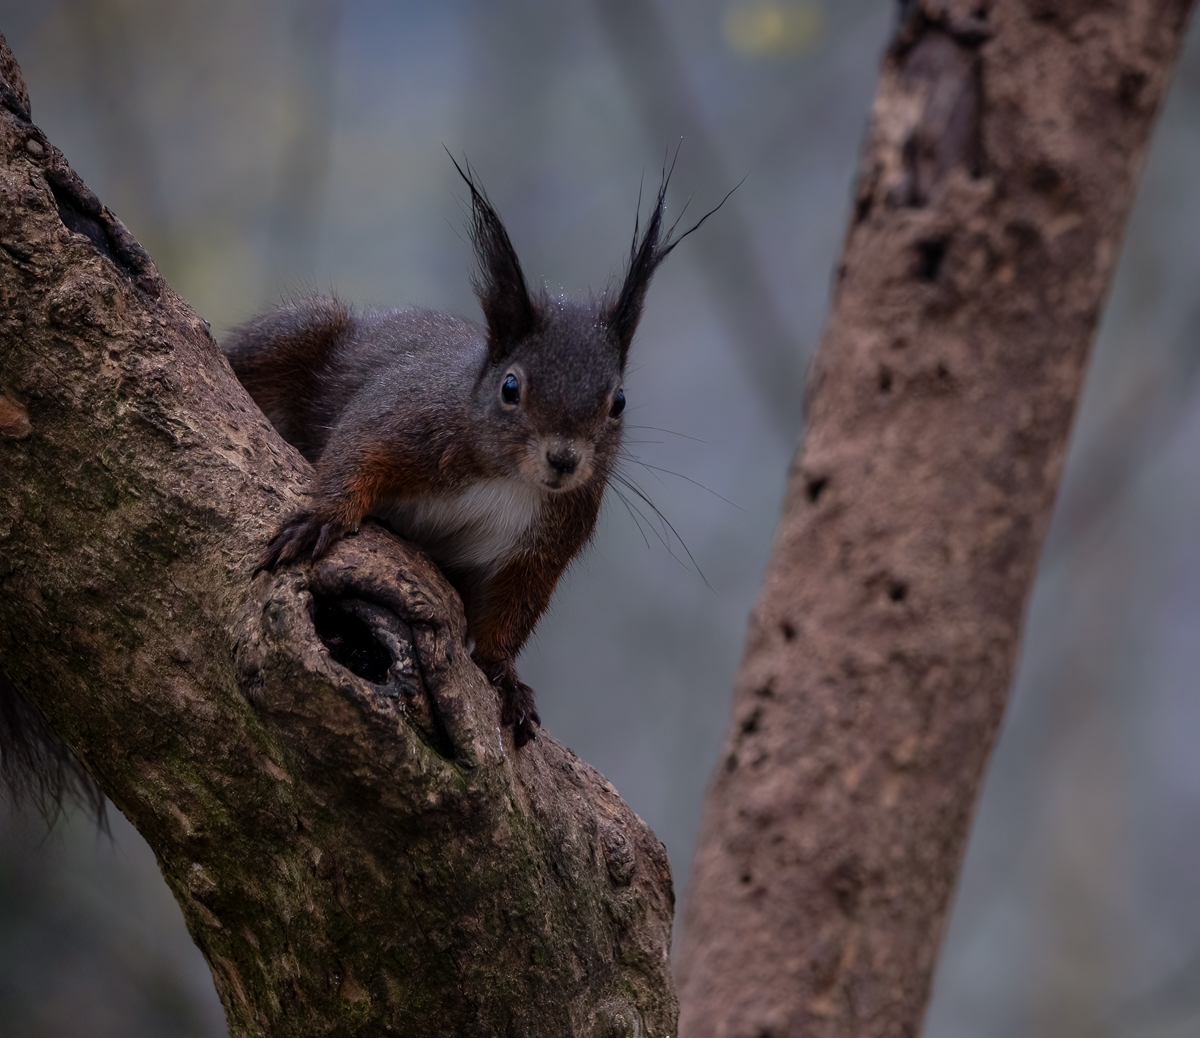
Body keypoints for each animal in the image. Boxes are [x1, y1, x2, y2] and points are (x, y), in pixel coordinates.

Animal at [223, 158, 720, 744]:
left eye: (618, 401)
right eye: (510, 387)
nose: (564, 460)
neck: (509, 478)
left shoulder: (547, 542)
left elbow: (511, 614)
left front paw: (506, 677)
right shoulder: (407, 416)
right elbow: (356, 451)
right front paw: (322, 518)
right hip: (294, 336)